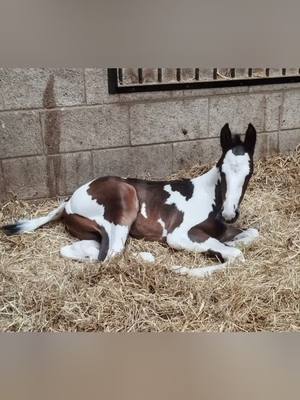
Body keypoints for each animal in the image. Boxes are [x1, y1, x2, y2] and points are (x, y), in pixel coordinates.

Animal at [1, 123, 258, 276]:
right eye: (222, 170)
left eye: (250, 172)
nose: (229, 213)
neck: (209, 196)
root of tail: (69, 201)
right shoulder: (179, 234)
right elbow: (236, 256)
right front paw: (181, 269)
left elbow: (253, 235)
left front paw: (233, 243)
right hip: (124, 204)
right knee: (111, 256)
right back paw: (147, 258)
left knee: (83, 251)